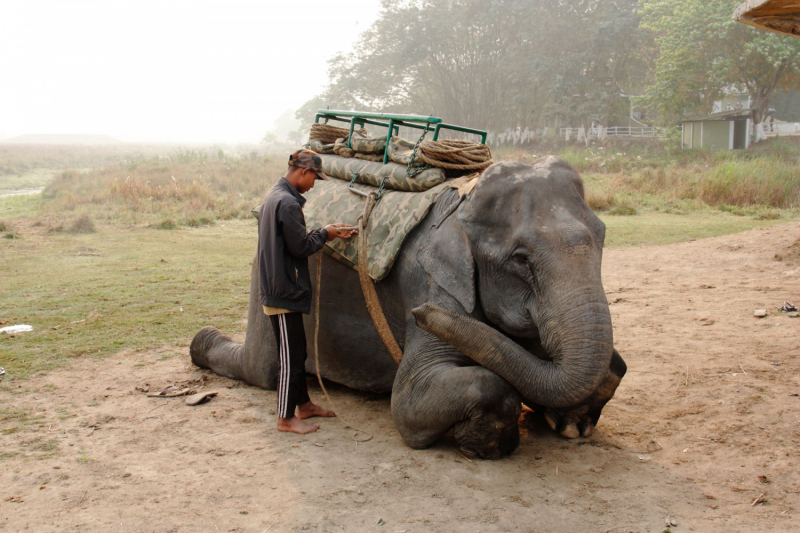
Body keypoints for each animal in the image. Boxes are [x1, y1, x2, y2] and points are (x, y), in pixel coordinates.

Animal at [191, 154, 628, 458]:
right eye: (521, 259)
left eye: (603, 236)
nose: (422, 315)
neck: (465, 204)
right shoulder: (429, 281)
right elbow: (413, 399)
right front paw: (480, 444)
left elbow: (608, 367)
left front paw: (571, 425)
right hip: (262, 274)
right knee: (263, 369)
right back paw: (202, 342)